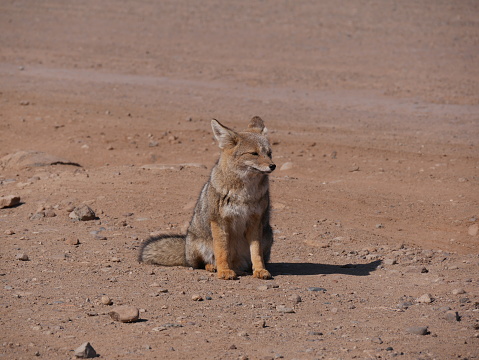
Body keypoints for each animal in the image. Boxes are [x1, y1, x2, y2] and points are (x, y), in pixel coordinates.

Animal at [139, 116, 276, 280]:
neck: (244, 194)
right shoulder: (219, 221)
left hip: (268, 235)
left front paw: (260, 270)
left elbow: (256, 252)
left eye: (269, 153)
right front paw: (224, 271)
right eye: (254, 153)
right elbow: (222, 250)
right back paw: (214, 266)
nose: (273, 166)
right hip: (199, 245)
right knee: (200, 264)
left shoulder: (255, 221)